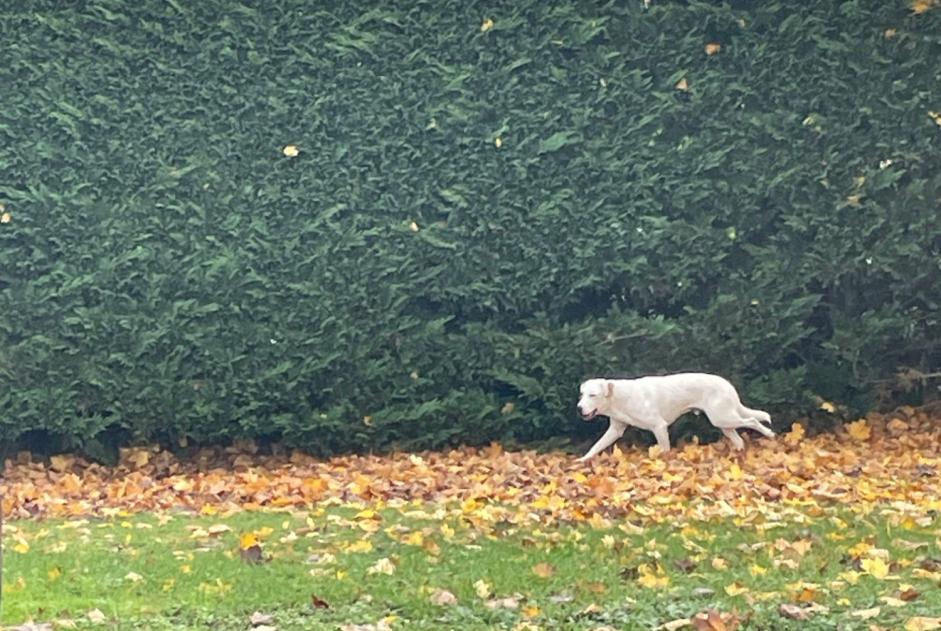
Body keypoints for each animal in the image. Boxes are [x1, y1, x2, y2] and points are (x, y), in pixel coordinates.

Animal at [576, 372, 776, 462]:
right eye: (582, 394)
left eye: (592, 395)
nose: (579, 408)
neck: (619, 397)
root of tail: (727, 384)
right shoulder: (615, 430)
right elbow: (596, 446)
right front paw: (582, 461)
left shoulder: (659, 426)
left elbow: (664, 449)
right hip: (723, 421)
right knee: (739, 438)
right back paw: (738, 454)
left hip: (722, 417)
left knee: (752, 420)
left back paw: (769, 435)